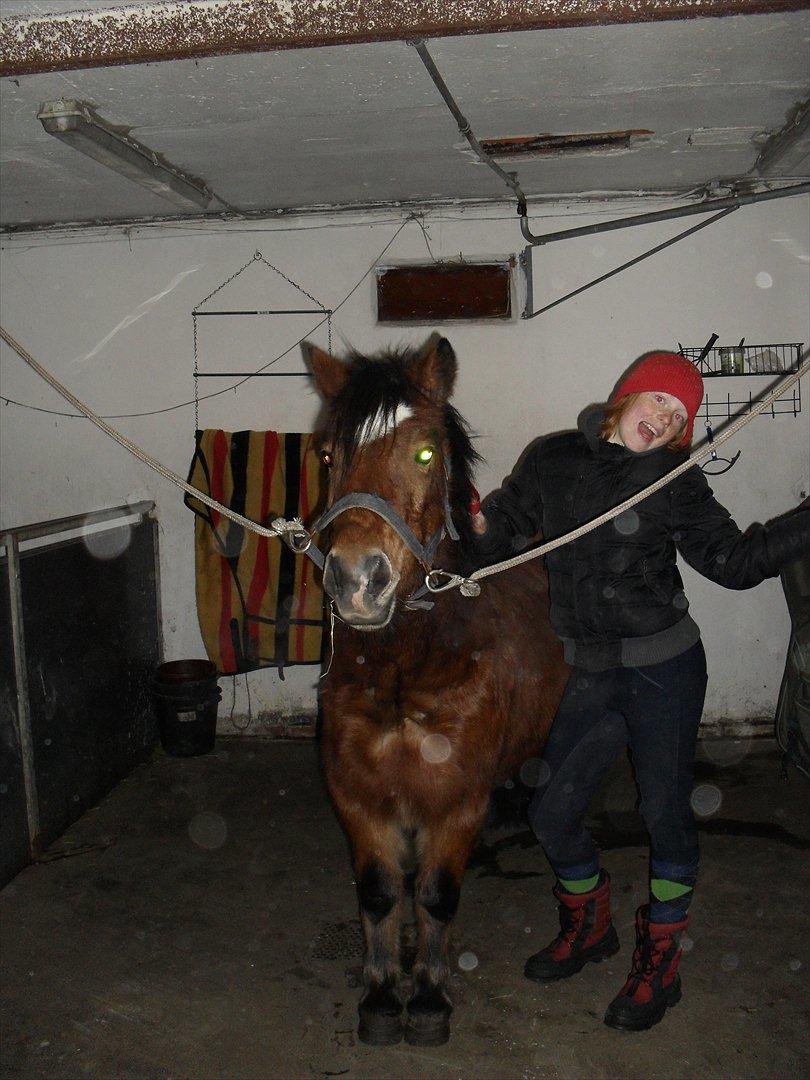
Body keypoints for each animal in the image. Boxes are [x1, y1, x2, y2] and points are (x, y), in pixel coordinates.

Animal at [306, 336, 570, 1045]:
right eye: (327, 455)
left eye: (426, 453)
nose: (356, 581)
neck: (406, 671)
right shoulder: (358, 796)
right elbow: (378, 892)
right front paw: (379, 995)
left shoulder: (455, 803)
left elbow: (433, 895)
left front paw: (426, 995)